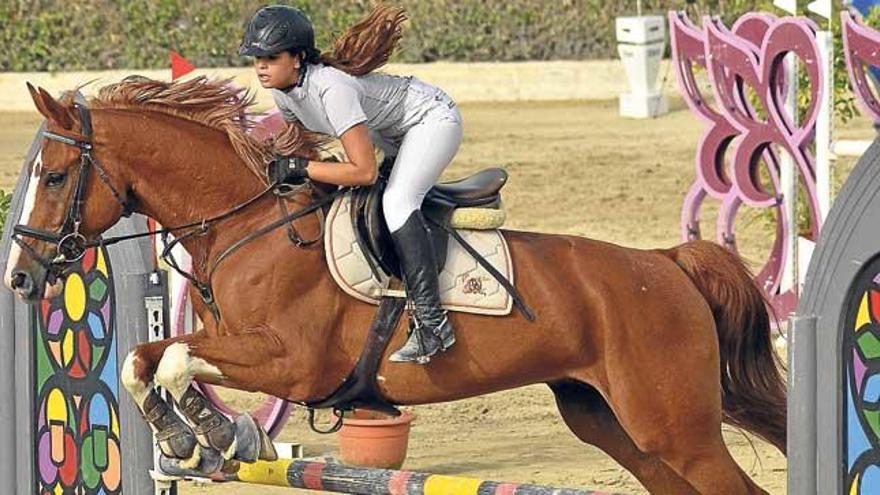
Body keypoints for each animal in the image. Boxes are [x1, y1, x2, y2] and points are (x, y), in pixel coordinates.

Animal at [0, 79, 784, 494]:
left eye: (57, 176)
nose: (21, 277)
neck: (247, 222)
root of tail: (666, 263)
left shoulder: (291, 361)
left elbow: (171, 358)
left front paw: (216, 435)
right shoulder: (239, 345)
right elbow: (145, 358)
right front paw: (194, 438)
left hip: (674, 429)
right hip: (613, 423)